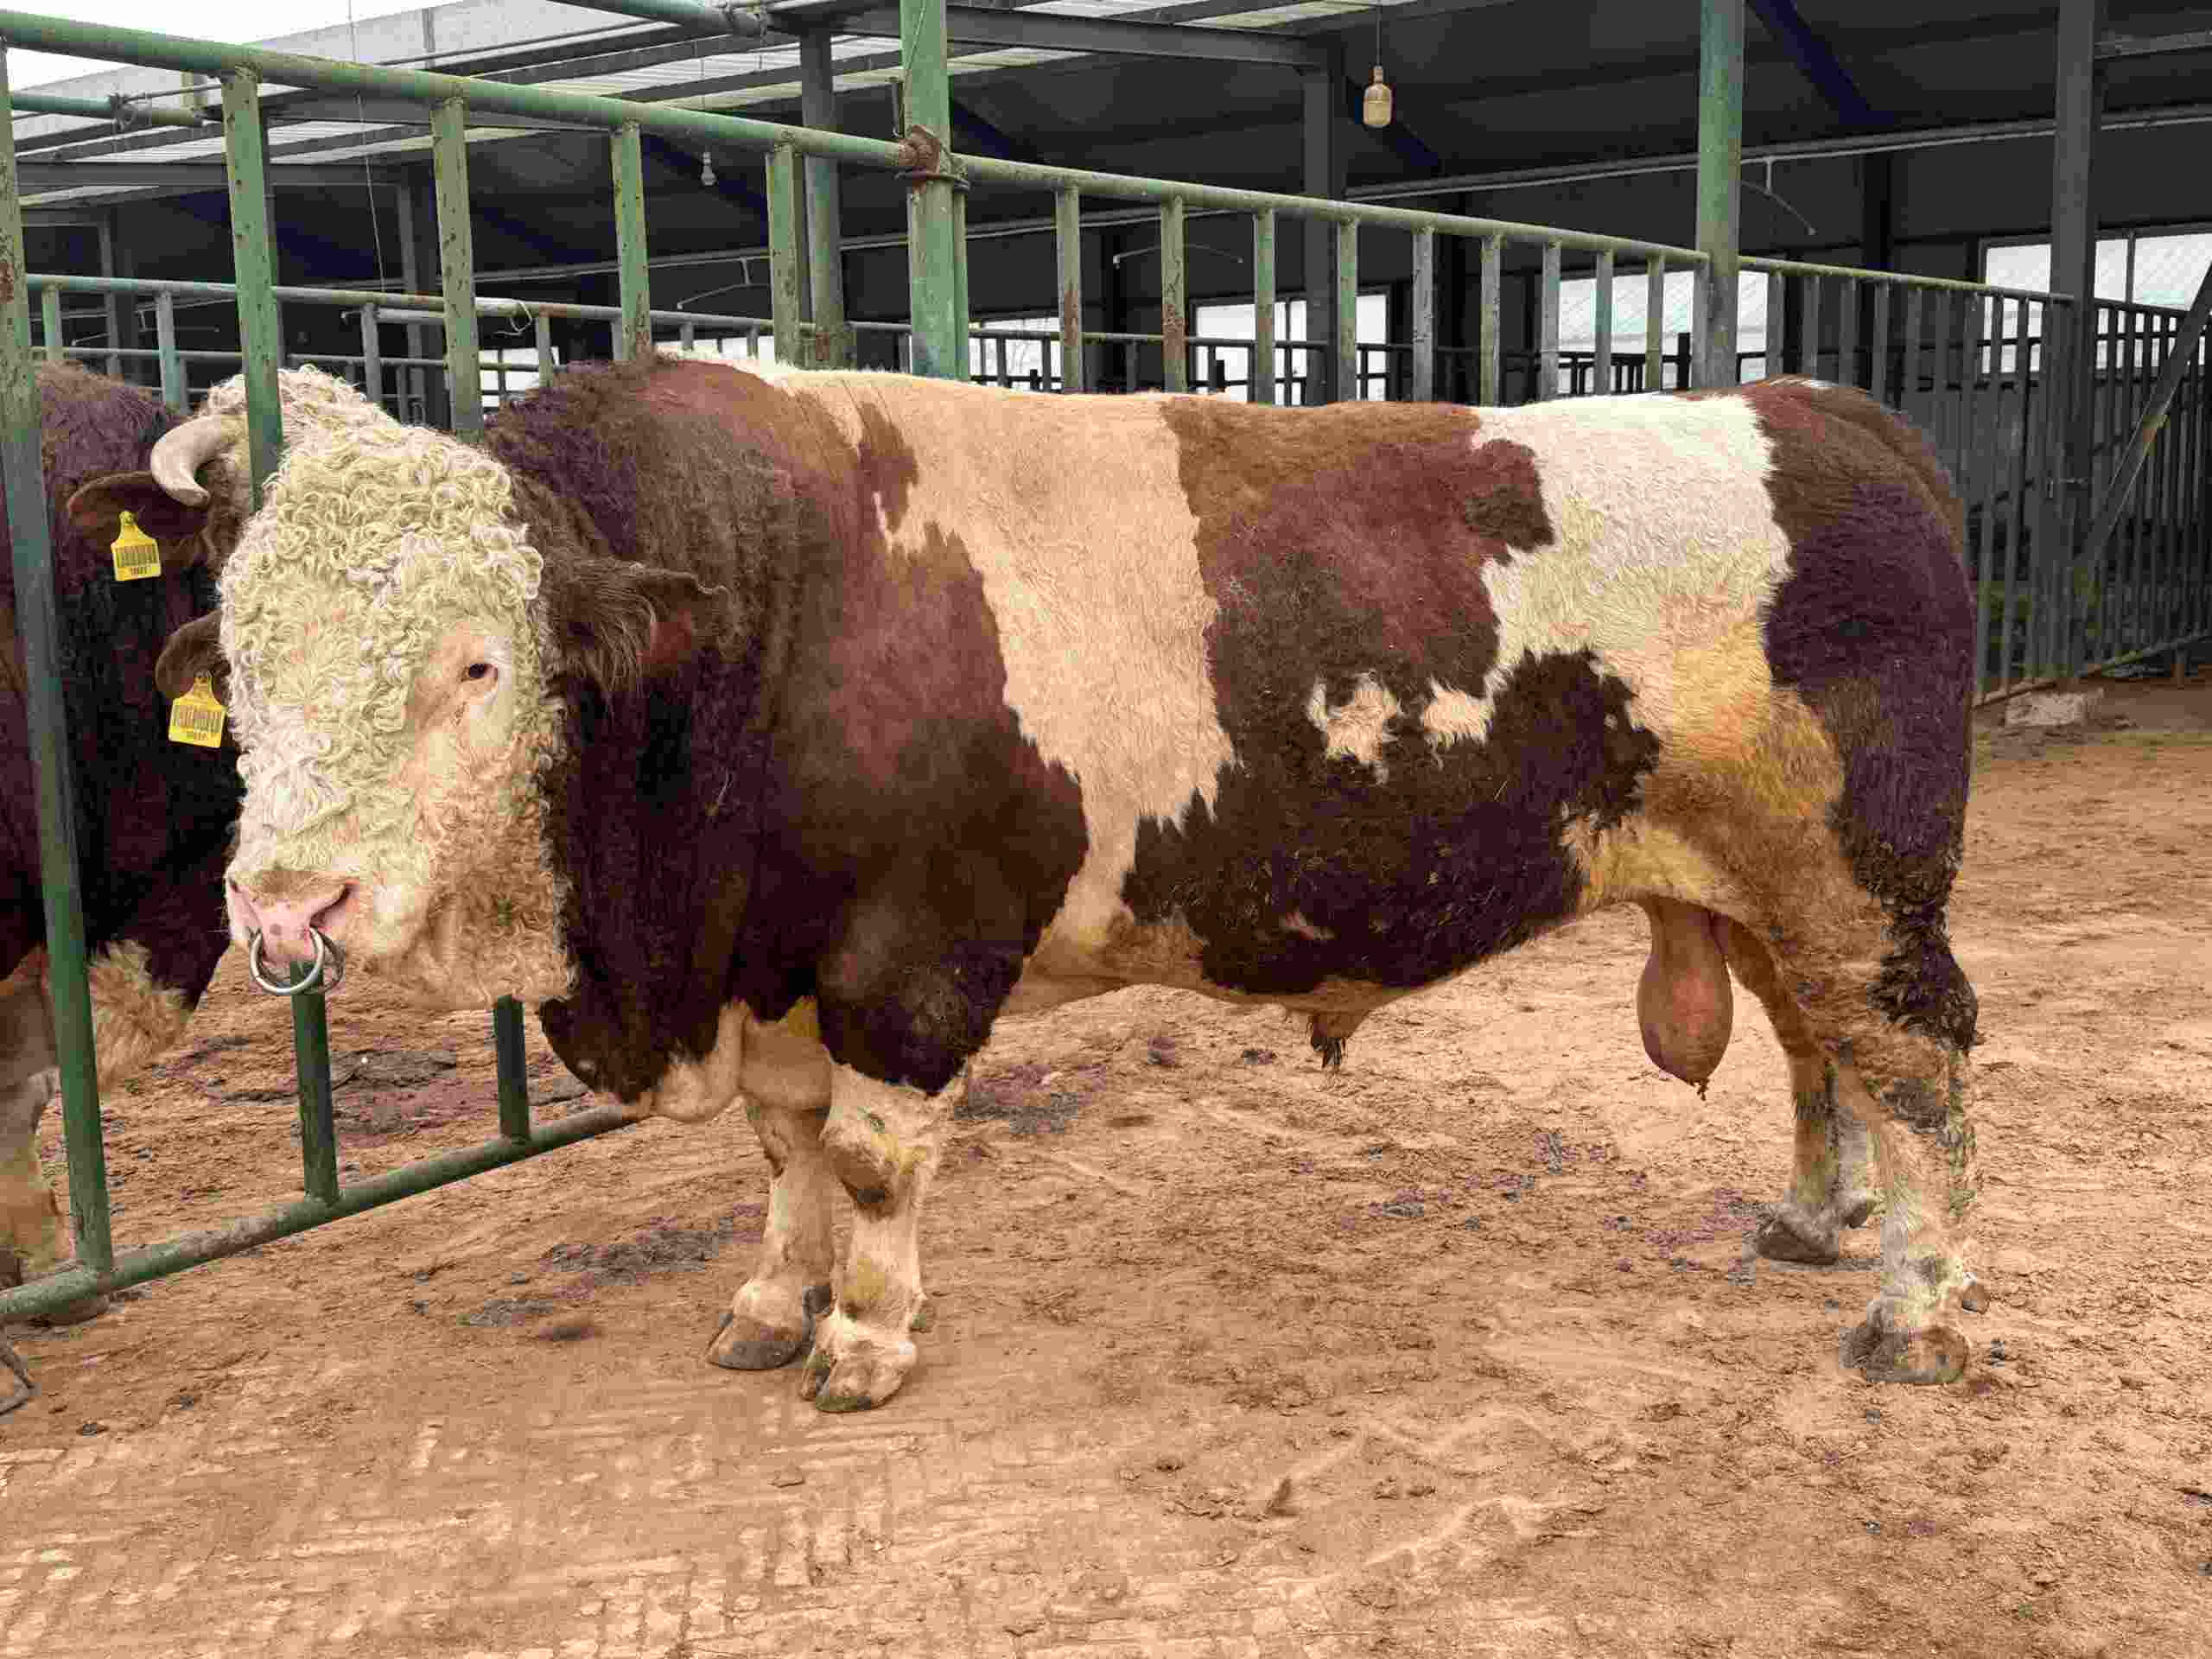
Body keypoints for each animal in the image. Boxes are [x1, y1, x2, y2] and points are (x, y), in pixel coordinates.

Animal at [142, 354, 1981, 1412]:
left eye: (475, 663)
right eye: (238, 659)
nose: (288, 907)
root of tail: (1825, 410)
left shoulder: (913, 950)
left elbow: (872, 1159)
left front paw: (864, 1338)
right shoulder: (775, 965)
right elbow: (785, 1155)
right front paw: (771, 1301)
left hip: (1864, 884)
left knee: (1923, 1066)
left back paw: (1928, 1314)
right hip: (1764, 890)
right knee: (1822, 1051)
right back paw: (1821, 1220)